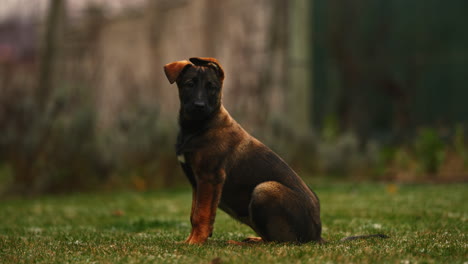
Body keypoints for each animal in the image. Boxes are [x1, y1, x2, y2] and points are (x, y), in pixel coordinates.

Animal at [164, 57, 384, 245]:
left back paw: (241, 243)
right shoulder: (197, 182)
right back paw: (252, 239)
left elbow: (201, 214)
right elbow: (194, 213)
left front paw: (195, 242)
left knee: (280, 242)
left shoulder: (210, 177)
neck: (198, 127)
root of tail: (317, 235)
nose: (199, 106)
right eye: (189, 84)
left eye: (212, 88)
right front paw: (190, 240)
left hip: (265, 189)